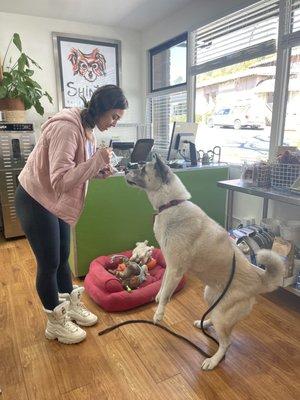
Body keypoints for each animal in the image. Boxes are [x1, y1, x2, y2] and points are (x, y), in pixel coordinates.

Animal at [125, 155, 284, 370]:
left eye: (142, 169)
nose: (126, 169)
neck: (172, 203)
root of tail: (259, 280)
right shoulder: (170, 265)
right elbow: (163, 286)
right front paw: (157, 297)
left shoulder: (176, 269)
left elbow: (167, 294)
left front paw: (158, 314)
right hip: (210, 297)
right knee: (215, 319)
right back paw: (205, 323)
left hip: (223, 314)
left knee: (226, 343)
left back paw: (213, 360)